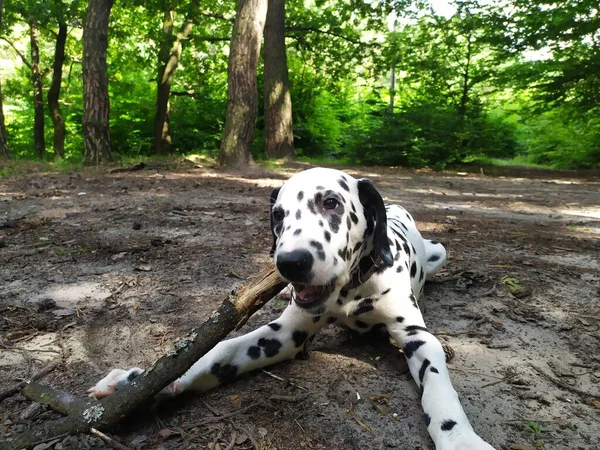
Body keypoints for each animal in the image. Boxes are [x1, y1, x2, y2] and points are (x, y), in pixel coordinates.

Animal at [88, 169, 492, 450]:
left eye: (331, 202)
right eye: (278, 215)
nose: (290, 262)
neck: (352, 287)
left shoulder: (417, 338)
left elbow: (439, 386)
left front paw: (460, 439)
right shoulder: (284, 335)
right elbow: (218, 351)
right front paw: (138, 383)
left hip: (440, 251)